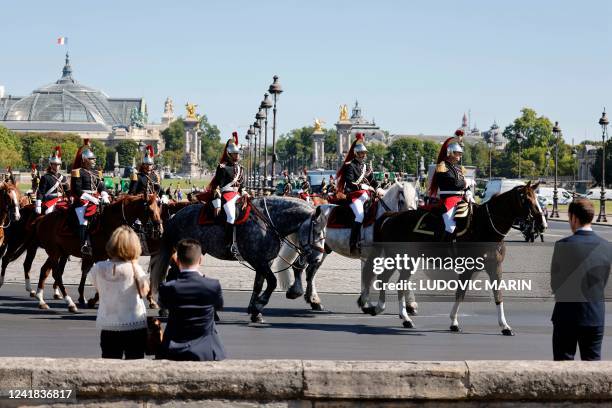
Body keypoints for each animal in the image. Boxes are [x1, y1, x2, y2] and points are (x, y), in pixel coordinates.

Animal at [33, 194, 163, 312]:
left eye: (159, 209)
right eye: (150, 210)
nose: (159, 231)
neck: (108, 223)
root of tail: (42, 219)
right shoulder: (99, 257)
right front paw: (94, 299)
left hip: (58, 252)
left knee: (45, 270)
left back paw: (41, 301)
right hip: (54, 252)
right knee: (57, 274)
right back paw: (69, 303)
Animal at [151, 196, 332, 324]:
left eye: (325, 232)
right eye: (316, 231)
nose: (317, 258)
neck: (269, 223)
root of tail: (175, 216)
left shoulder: (265, 261)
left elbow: (258, 284)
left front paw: (255, 311)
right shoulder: (257, 260)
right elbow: (272, 282)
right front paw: (259, 305)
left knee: (172, 275)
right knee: (172, 275)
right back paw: (167, 308)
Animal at [370, 182, 548, 334]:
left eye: (537, 198)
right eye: (527, 199)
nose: (543, 224)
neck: (484, 226)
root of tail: (393, 216)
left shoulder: (495, 267)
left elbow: (498, 294)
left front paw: (504, 326)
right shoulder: (468, 267)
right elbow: (460, 293)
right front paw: (454, 322)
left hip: (404, 260)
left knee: (391, 280)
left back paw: (394, 313)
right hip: (401, 259)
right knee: (392, 280)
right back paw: (399, 315)